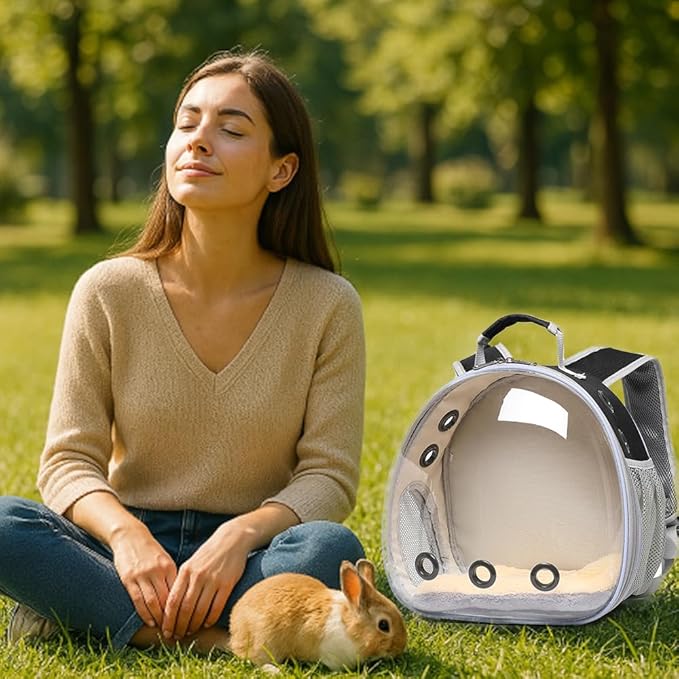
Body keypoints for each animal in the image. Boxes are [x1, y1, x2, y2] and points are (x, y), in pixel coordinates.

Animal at [228, 558, 407, 671]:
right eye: (383, 625)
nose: (400, 647)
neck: (349, 626)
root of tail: (234, 630)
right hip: (263, 643)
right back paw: (275, 671)